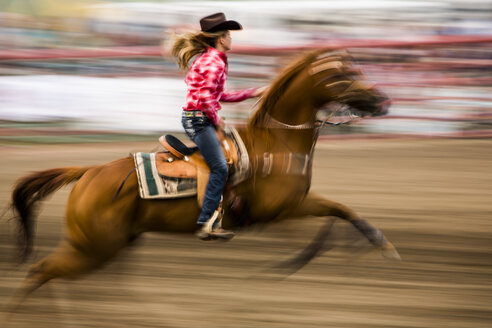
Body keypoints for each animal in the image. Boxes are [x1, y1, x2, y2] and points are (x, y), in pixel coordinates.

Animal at [5, 49, 400, 312]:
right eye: (342, 75)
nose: (381, 101)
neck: (277, 143)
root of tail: (88, 173)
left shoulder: (296, 204)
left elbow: (342, 211)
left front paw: (380, 246)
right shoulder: (280, 210)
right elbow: (328, 222)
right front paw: (294, 262)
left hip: (111, 244)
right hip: (93, 248)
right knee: (41, 270)